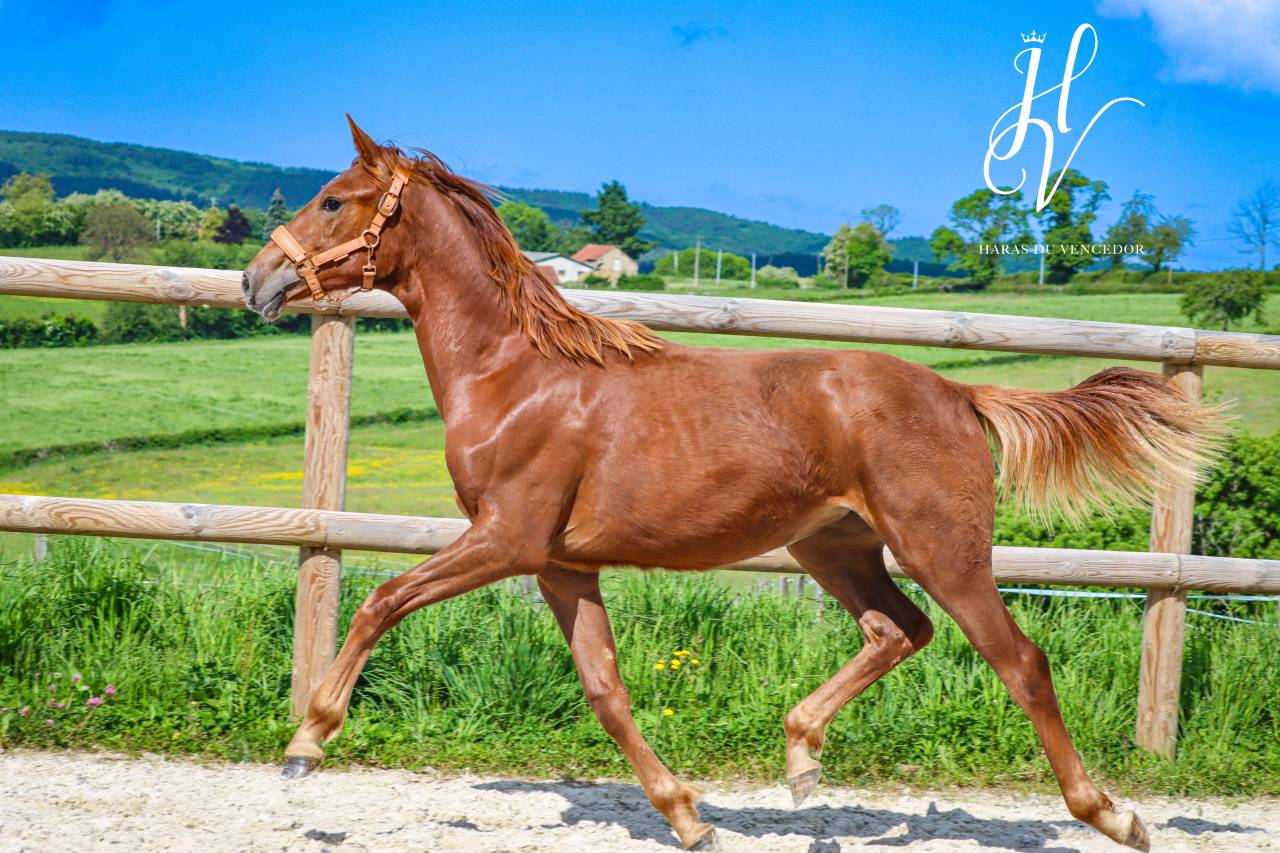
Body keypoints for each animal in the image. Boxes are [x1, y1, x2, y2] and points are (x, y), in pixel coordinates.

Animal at [242, 117, 1223, 851]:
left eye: (334, 199)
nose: (256, 280)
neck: (515, 374)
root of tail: (958, 392)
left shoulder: (505, 539)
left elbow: (382, 600)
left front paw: (305, 744)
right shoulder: (560, 563)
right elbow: (605, 689)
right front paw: (688, 817)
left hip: (942, 548)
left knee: (1017, 660)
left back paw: (1113, 815)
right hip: (832, 546)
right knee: (898, 629)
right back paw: (801, 759)